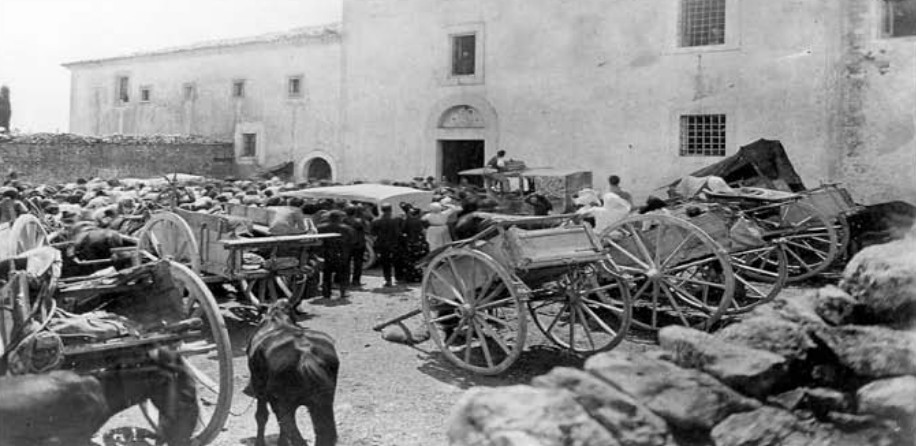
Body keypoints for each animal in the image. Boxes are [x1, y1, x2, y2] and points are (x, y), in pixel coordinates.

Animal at [247, 298, 340, 446]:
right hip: (324, 402)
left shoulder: (259, 387)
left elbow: (261, 416)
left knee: (293, 432)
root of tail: (305, 352)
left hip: (285, 403)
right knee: (323, 434)